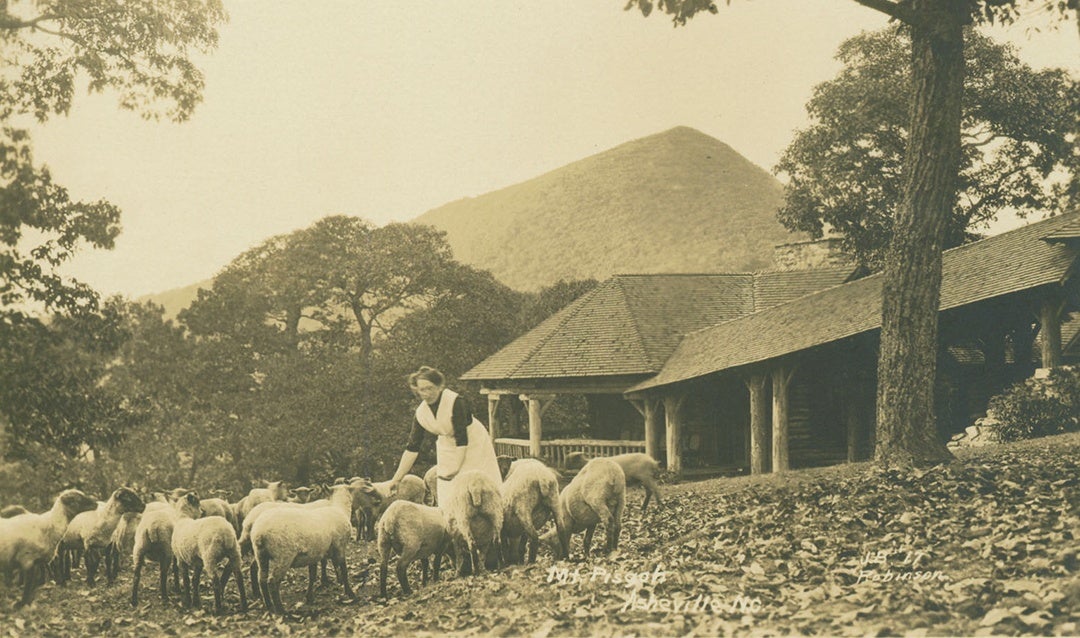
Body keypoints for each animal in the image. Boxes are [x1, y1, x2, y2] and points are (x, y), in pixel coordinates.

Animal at [249, 485, 358, 617]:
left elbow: (312, 575)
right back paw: (282, 611)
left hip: (261, 555)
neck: (340, 509)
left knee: (262, 579)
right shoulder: (340, 547)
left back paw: (269, 606)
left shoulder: (314, 554)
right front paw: (350, 593)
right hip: (284, 555)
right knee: (273, 581)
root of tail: (259, 533)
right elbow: (344, 570)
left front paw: (309, 597)